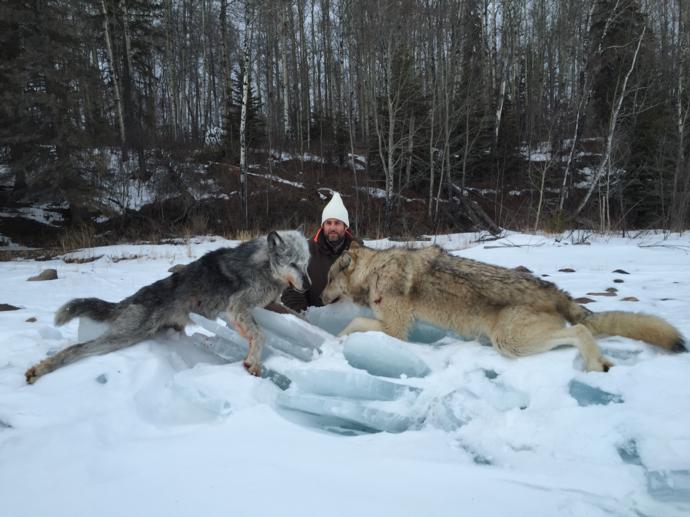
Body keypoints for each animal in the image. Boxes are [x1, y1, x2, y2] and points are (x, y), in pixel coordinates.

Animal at [25, 230, 311, 383]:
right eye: (293, 263)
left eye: (306, 263)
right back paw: (39, 369)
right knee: (77, 349)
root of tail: (132, 298)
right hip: (124, 336)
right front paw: (253, 363)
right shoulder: (238, 307)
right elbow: (260, 337)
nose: (308, 285)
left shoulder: (270, 305)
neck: (263, 266)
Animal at [321, 243, 685, 371]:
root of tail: (555, 290)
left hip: (510, 341)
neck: (374, 271)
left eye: (328, 279)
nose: (320, 298)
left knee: (581, 329)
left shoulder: (396, 330)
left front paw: (335, 342)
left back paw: (596, 365)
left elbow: (352, 325)